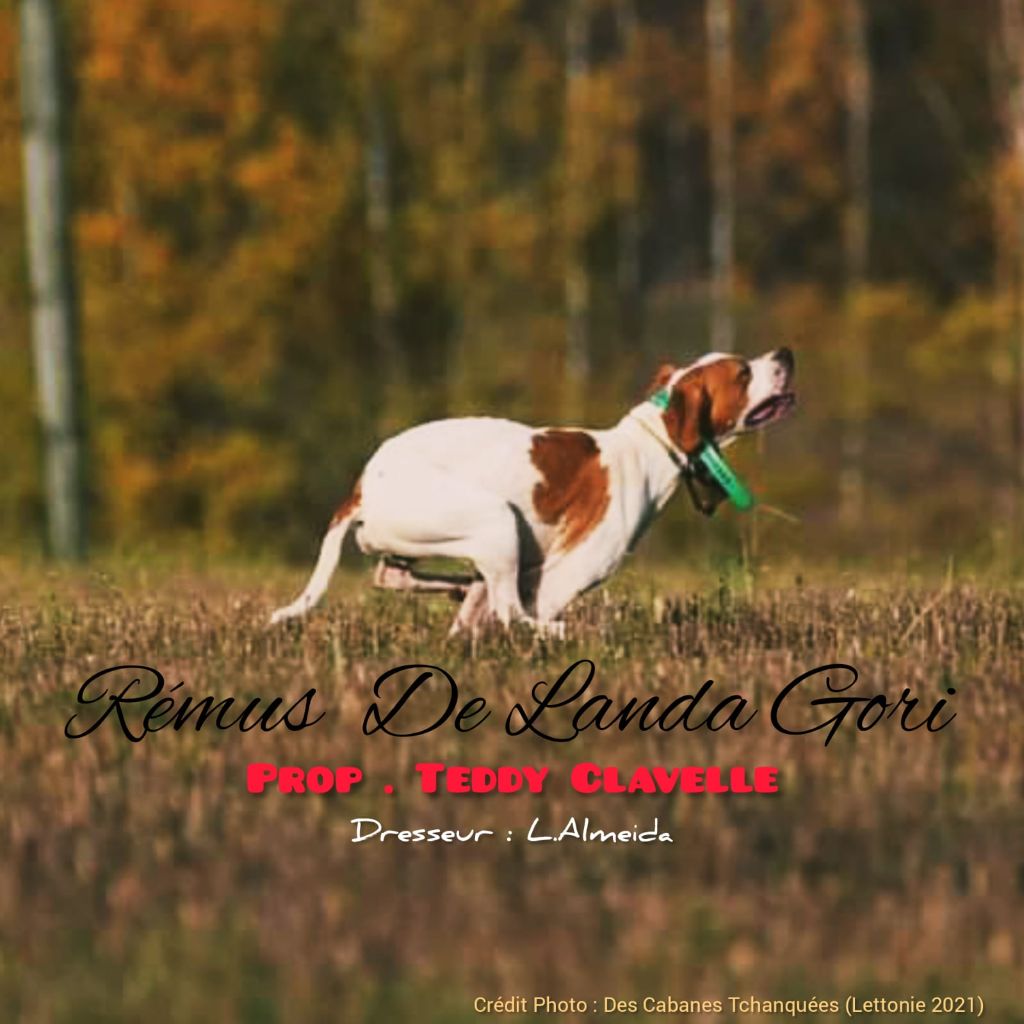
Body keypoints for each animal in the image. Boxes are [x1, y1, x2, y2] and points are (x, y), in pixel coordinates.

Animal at [270, 348, 790, 630]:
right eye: (743, 373)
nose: (785, 354)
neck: (648, 444)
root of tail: (362, 486)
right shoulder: (563, 578)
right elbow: (519, 616)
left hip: (424, 541)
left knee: (398, 577)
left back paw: (460, 587)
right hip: (496, 519)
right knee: (511, 614)